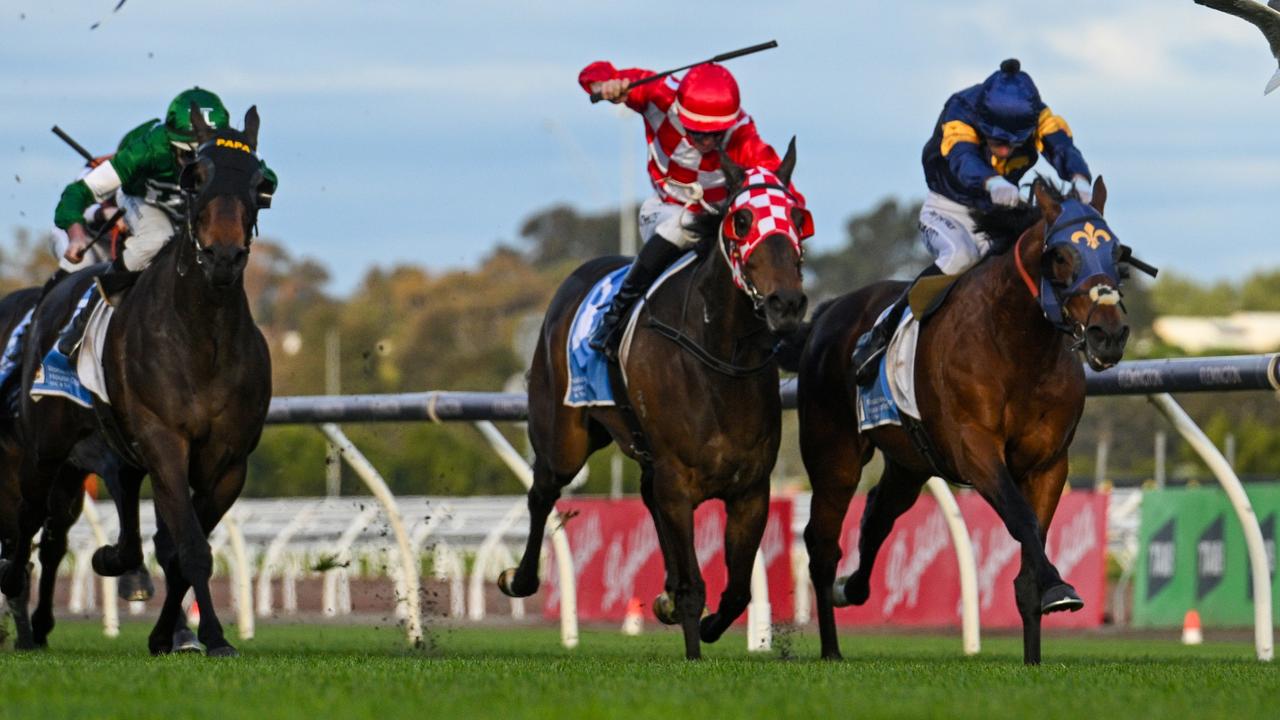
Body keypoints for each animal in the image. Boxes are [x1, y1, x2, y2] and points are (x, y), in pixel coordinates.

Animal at [1, 106, 272, 655]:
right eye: (197, 178)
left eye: (261, 183)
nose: (224, 256)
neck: (202, 336)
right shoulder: (163, 439)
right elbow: (190, 545)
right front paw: (214, 636)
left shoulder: (229, 461)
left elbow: (180, 546)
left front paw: (171, 634)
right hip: (44, 446)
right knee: (29, 521)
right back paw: (20, 600)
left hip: (110, 447)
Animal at [499, 144, 808, 655]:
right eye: (743, 219)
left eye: (799, 217)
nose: (787, 304)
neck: (719, 362)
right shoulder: (678, 482)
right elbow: (695, 587)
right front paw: (693, 647)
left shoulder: (751, 490)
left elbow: (737, 590)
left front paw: (706, 623)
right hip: (563, 436)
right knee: (543, 490)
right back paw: (519, 578)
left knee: (644, 496)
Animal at [798, 178, 1131, 661]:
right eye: (1060, 256)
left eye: (1116, 253)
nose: (1110, 334)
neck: (1017, 345)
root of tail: (829, 311)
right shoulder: (974, 448)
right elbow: (1021, 519)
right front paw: (1058, 586)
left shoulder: (1050, 463)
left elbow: (1031, 552)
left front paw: (1035, 652)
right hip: (834, 453)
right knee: (822, 543)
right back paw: (831, 649)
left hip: (909, 461)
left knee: (879, 513)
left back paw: (853, 589)